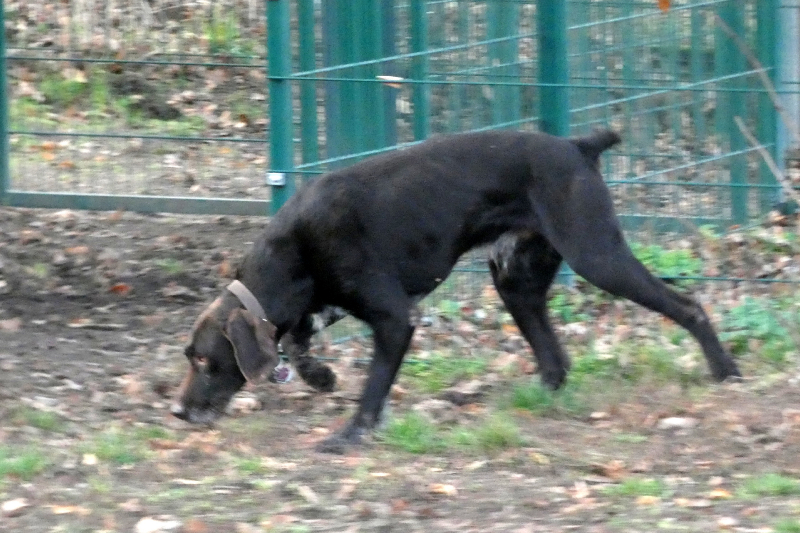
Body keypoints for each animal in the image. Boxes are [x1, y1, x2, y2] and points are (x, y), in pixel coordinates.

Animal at [171, 129, 741, 453]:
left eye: (202, 361)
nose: (177, 413)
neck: (293, 251)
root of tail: (578, 146)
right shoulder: (325, 305)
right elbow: (297, 338)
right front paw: (319, 375)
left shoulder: (395, 318)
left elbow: (372, 386)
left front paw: (351, 434)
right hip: (515, 281)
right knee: (555, 361)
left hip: (597, 256)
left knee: (688, 305)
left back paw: (725, 370)